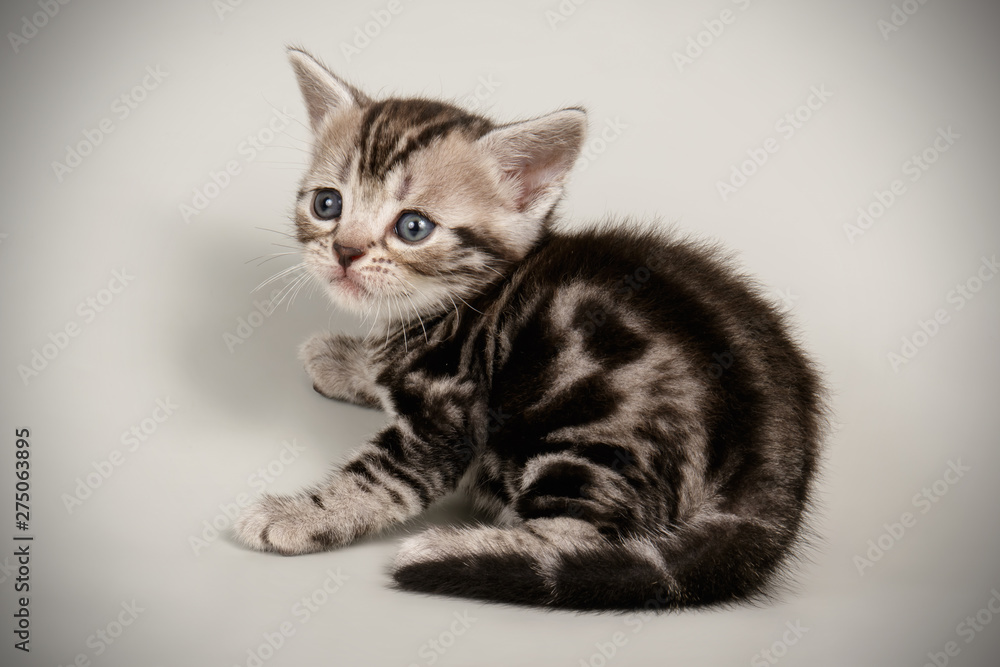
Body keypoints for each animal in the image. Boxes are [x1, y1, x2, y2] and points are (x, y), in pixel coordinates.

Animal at [230, 44, 824, 612]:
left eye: (413, 227)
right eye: (327, 203)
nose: (345, 252)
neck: (460, 304)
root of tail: (776, 478)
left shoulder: (450, 414)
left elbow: (380, 478)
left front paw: (294, 516)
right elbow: (381, 368)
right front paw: (347, 359)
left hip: (587, 436)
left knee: (583, 541)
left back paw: (452, 550)